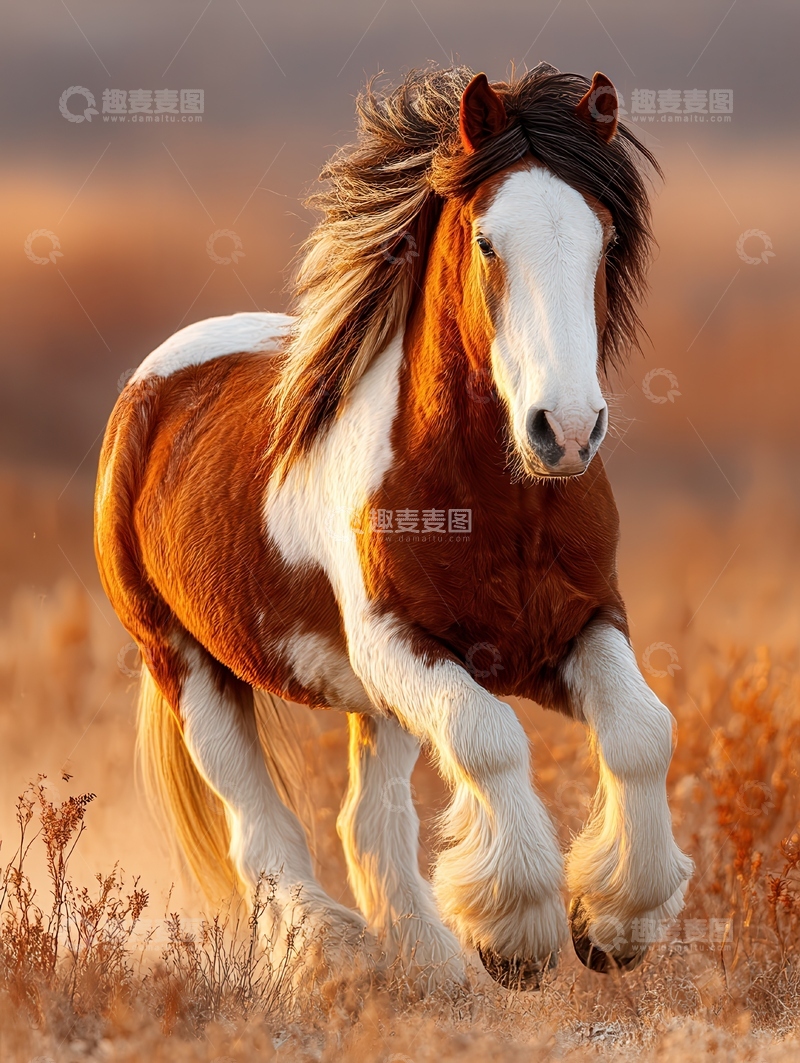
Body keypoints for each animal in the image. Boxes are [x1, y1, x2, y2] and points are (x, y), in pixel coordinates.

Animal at [94, 63, 693, 994]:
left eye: (601, 238)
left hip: (378, 705)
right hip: (186, 661)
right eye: (487, 242)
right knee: (260, 828)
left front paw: (615, 923)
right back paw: (330, 956)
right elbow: (491, 740)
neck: (499, 501)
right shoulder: (398, 642)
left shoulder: (579, 626)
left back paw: (429, 971)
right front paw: (517, 932)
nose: (565, 430)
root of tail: (153, 383)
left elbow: (642, 730)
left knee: (365, 822)